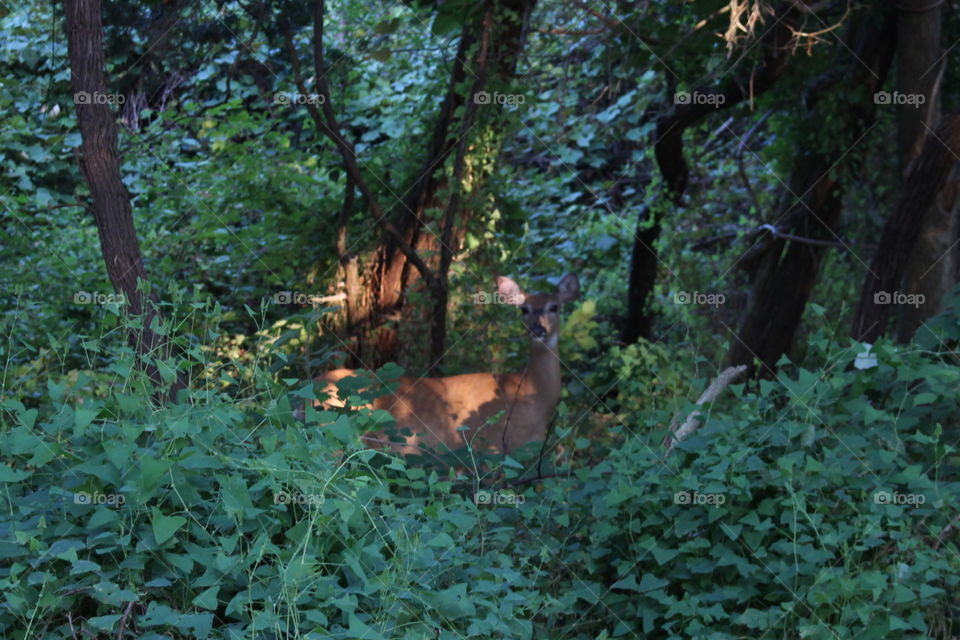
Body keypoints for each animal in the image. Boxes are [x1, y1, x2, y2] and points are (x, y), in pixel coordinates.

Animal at [313, 273, 581, 458]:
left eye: (554, 307)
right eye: (524, 309)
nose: (538, 330)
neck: (530, 393)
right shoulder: (490, 448)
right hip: (333, 436)